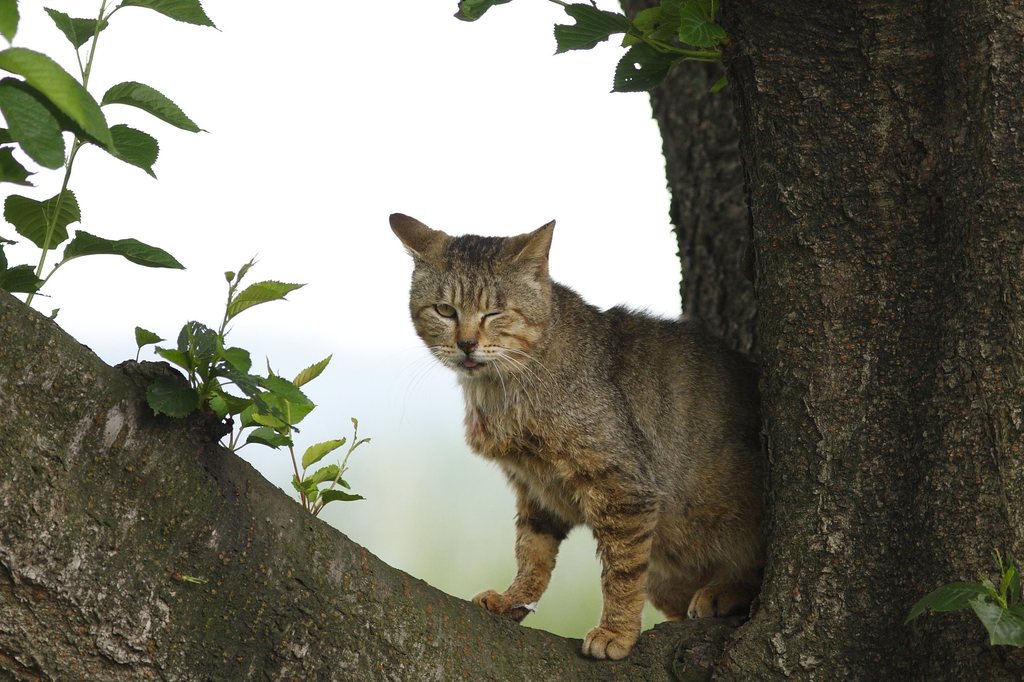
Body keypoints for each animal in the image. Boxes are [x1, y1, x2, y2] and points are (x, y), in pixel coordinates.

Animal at [391, 214, 770, 659]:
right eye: (445, 310)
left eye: (494, 312)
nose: (466, 344)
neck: (501, 390)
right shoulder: (535, 490)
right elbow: (531, 553)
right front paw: (512, 600)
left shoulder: (623, 487)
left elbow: (621, 573)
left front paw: (616, 632)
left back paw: (723, 591)